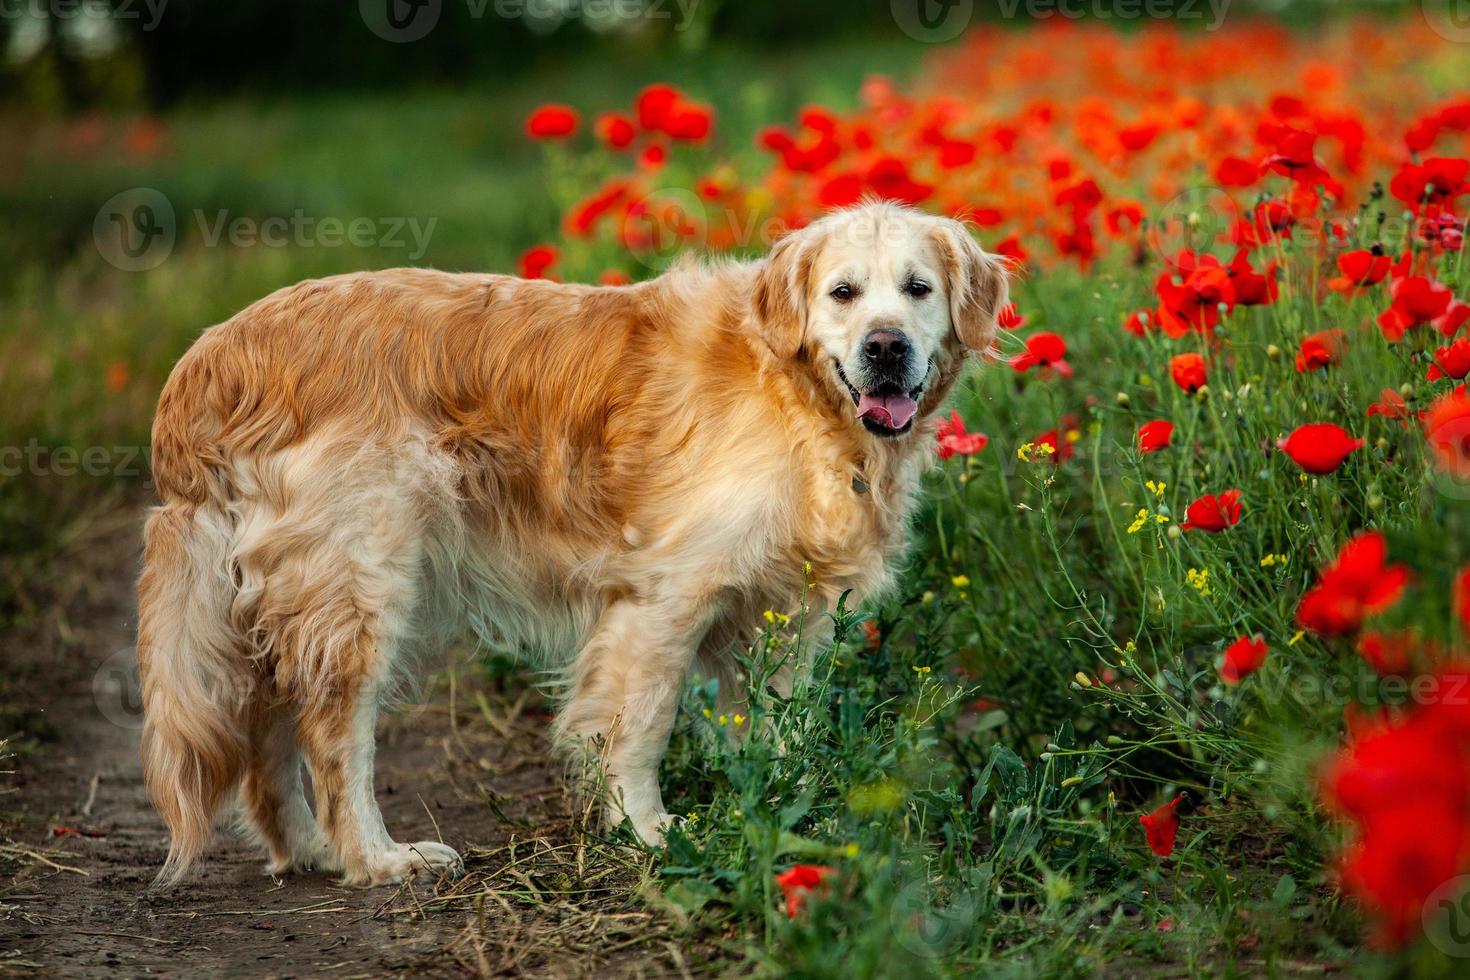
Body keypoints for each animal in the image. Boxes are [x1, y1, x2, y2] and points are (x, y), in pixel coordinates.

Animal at [138, 201, 1011, 887]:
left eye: (918, 289)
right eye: (843, 293)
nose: (886, 347)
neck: (795, 396)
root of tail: (203, 363)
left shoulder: (784, 618)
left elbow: (780, 731)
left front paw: (792, 816)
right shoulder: (665, 596)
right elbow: (640, 726)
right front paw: (647, 830)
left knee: (268, 738)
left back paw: (310, 851)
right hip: (362, 586)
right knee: (329, 735)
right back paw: (376, 858)